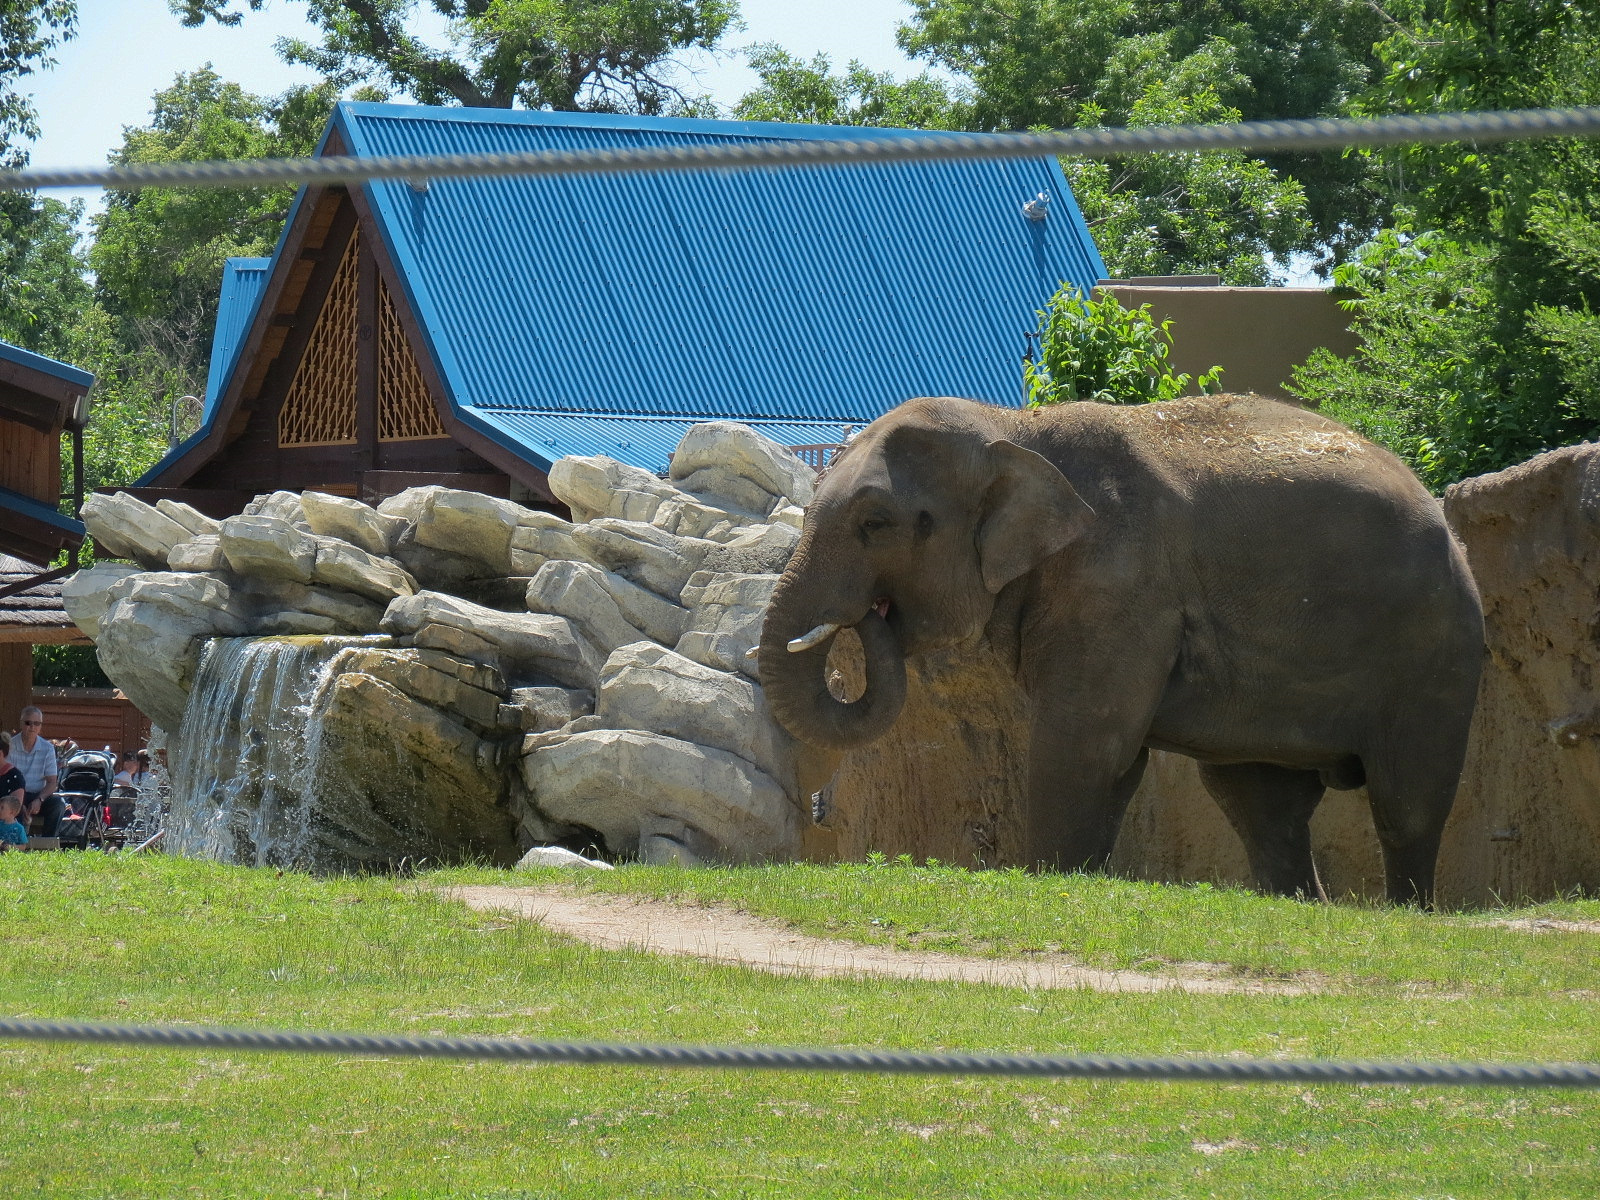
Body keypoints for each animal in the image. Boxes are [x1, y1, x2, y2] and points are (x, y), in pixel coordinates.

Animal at [756, 394, 1484, 906]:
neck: (1012, 430)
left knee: (1407, 799)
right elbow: (1111, 760)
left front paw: (1050, 882)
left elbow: (1087, 746)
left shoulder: (1120, 587)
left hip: (1435, 646)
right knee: (1261, 803)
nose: (873, 614)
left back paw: (1406, 910)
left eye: (876, 524)